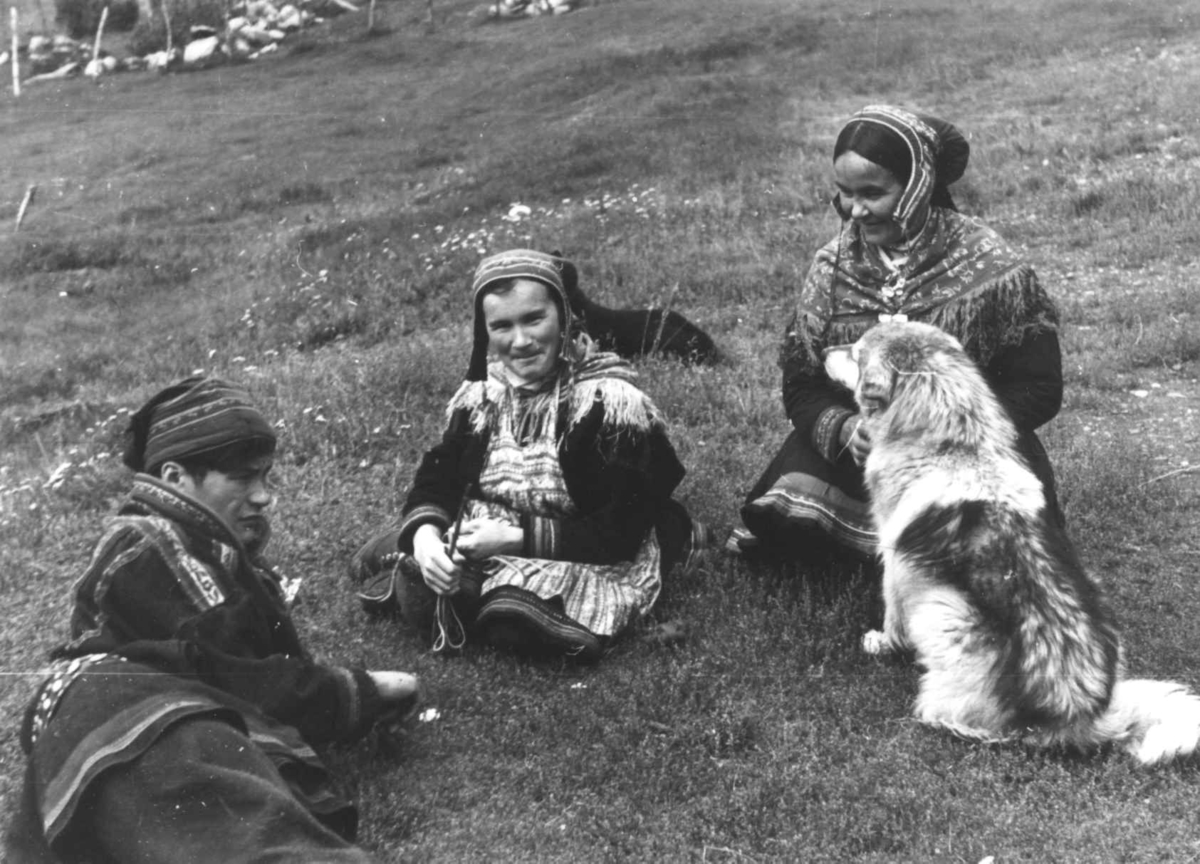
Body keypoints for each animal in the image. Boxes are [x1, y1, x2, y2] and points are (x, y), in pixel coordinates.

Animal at [854, 321, 1200, 763]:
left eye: (854, 352)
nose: (824, 350)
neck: (956, 444)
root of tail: (1083, 716)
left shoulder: (896, 564)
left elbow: (892, 615)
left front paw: (881, 643)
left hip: (944, 611)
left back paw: (944, 718)